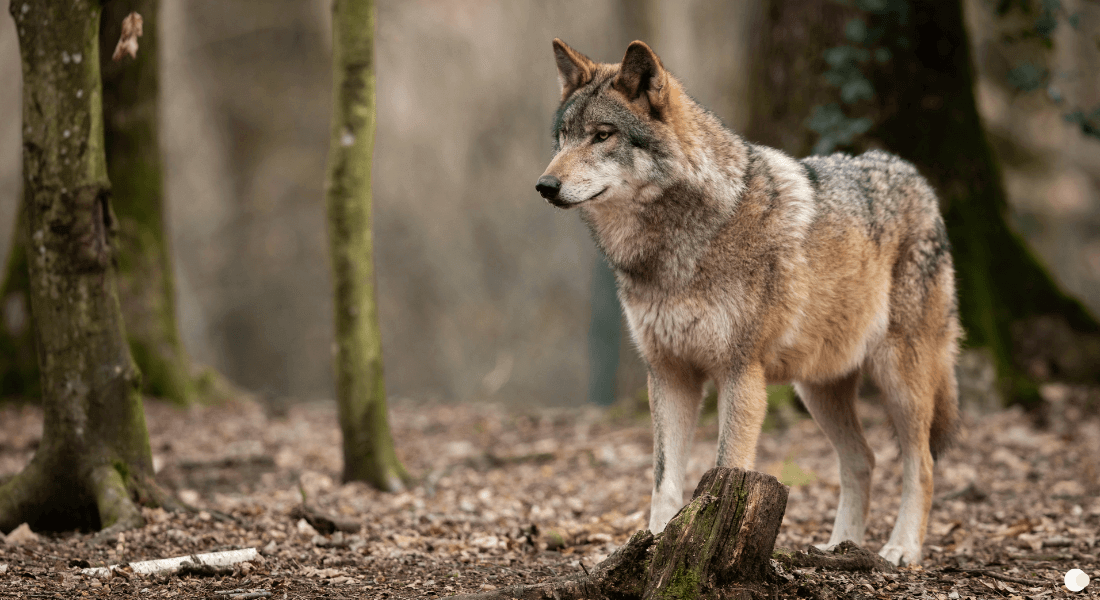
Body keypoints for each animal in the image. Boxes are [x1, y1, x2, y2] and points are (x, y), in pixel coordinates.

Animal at [536, 39, 959, 563]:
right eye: (563, 138)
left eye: (602, 136)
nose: (545, 186)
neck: (675, 248)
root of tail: (916, 178)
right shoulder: (669, 375)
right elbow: (663, 481)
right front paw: (654, 545)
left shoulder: (740, 374)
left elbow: (725, 467)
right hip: (817, 389)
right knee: (863, 459)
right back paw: (838, 548)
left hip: (900, 378)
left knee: (922, 464)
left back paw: (901, 550)